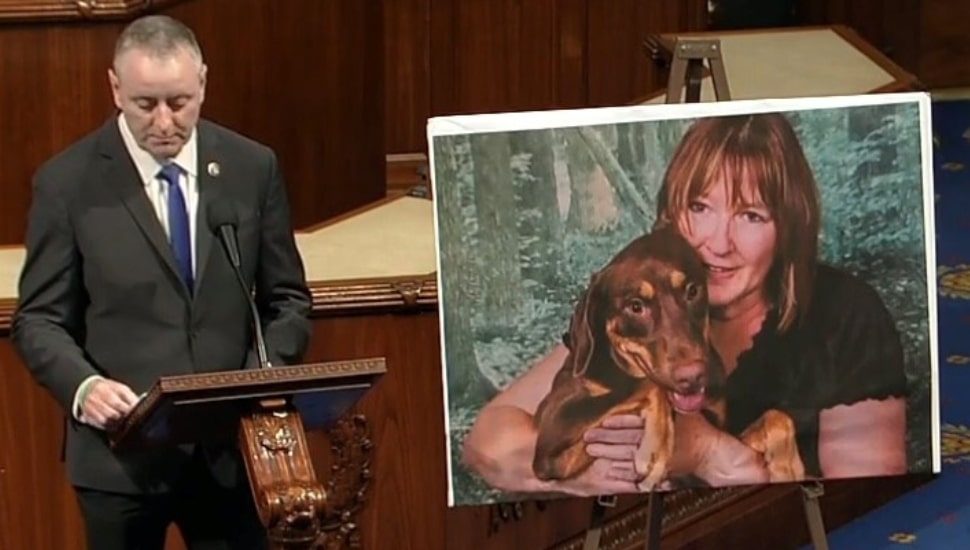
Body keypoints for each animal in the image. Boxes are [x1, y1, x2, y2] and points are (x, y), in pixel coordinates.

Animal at [528, 226, 800, 494]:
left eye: (692, 290)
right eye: (635, 306)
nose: (694, 376)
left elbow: (777, 416)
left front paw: (787, 466)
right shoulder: (554, 435)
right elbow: (646, 385)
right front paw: (654, 451)